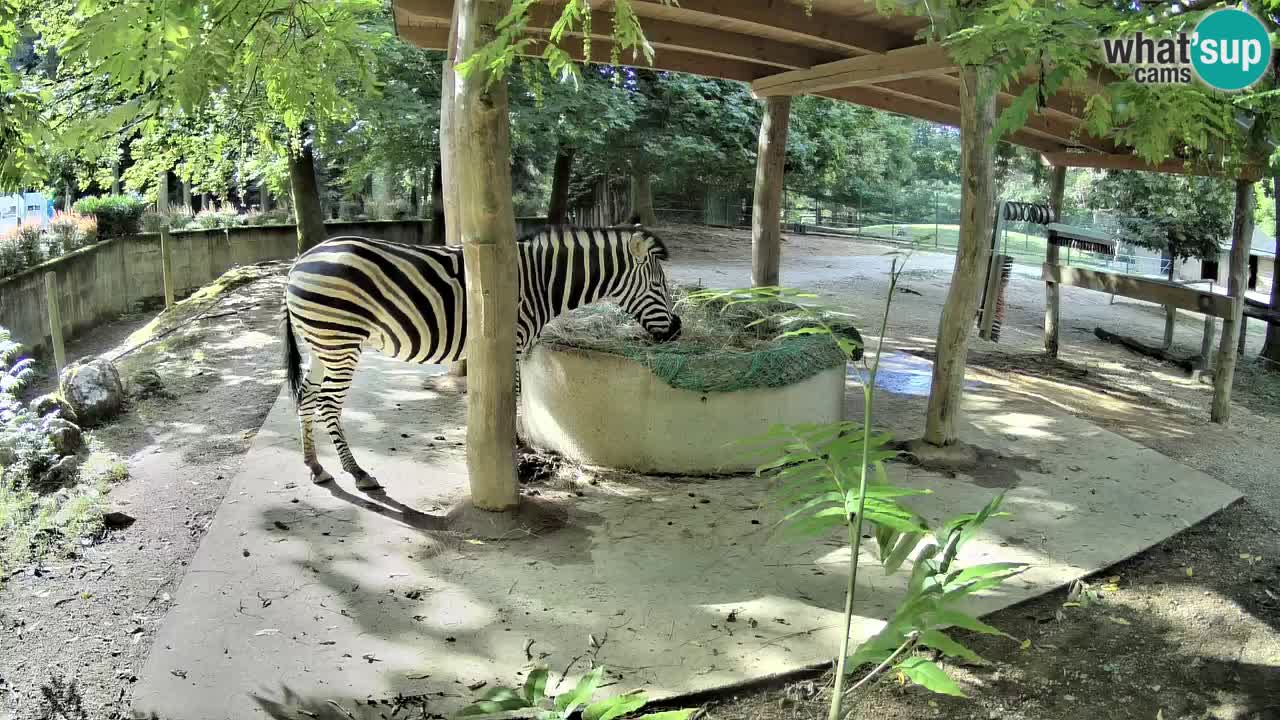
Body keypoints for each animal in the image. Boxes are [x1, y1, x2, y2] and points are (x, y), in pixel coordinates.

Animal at [281, 225, 683, 490]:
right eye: (660, 286)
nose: (678, 330)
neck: (541, 282)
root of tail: (300, 262)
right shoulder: (512, 341)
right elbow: (514, 394)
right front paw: (517, 448)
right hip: (340, 341)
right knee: (328, 404)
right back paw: (357, 472)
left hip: (322, 343)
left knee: (306, 397)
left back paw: (315, 466)